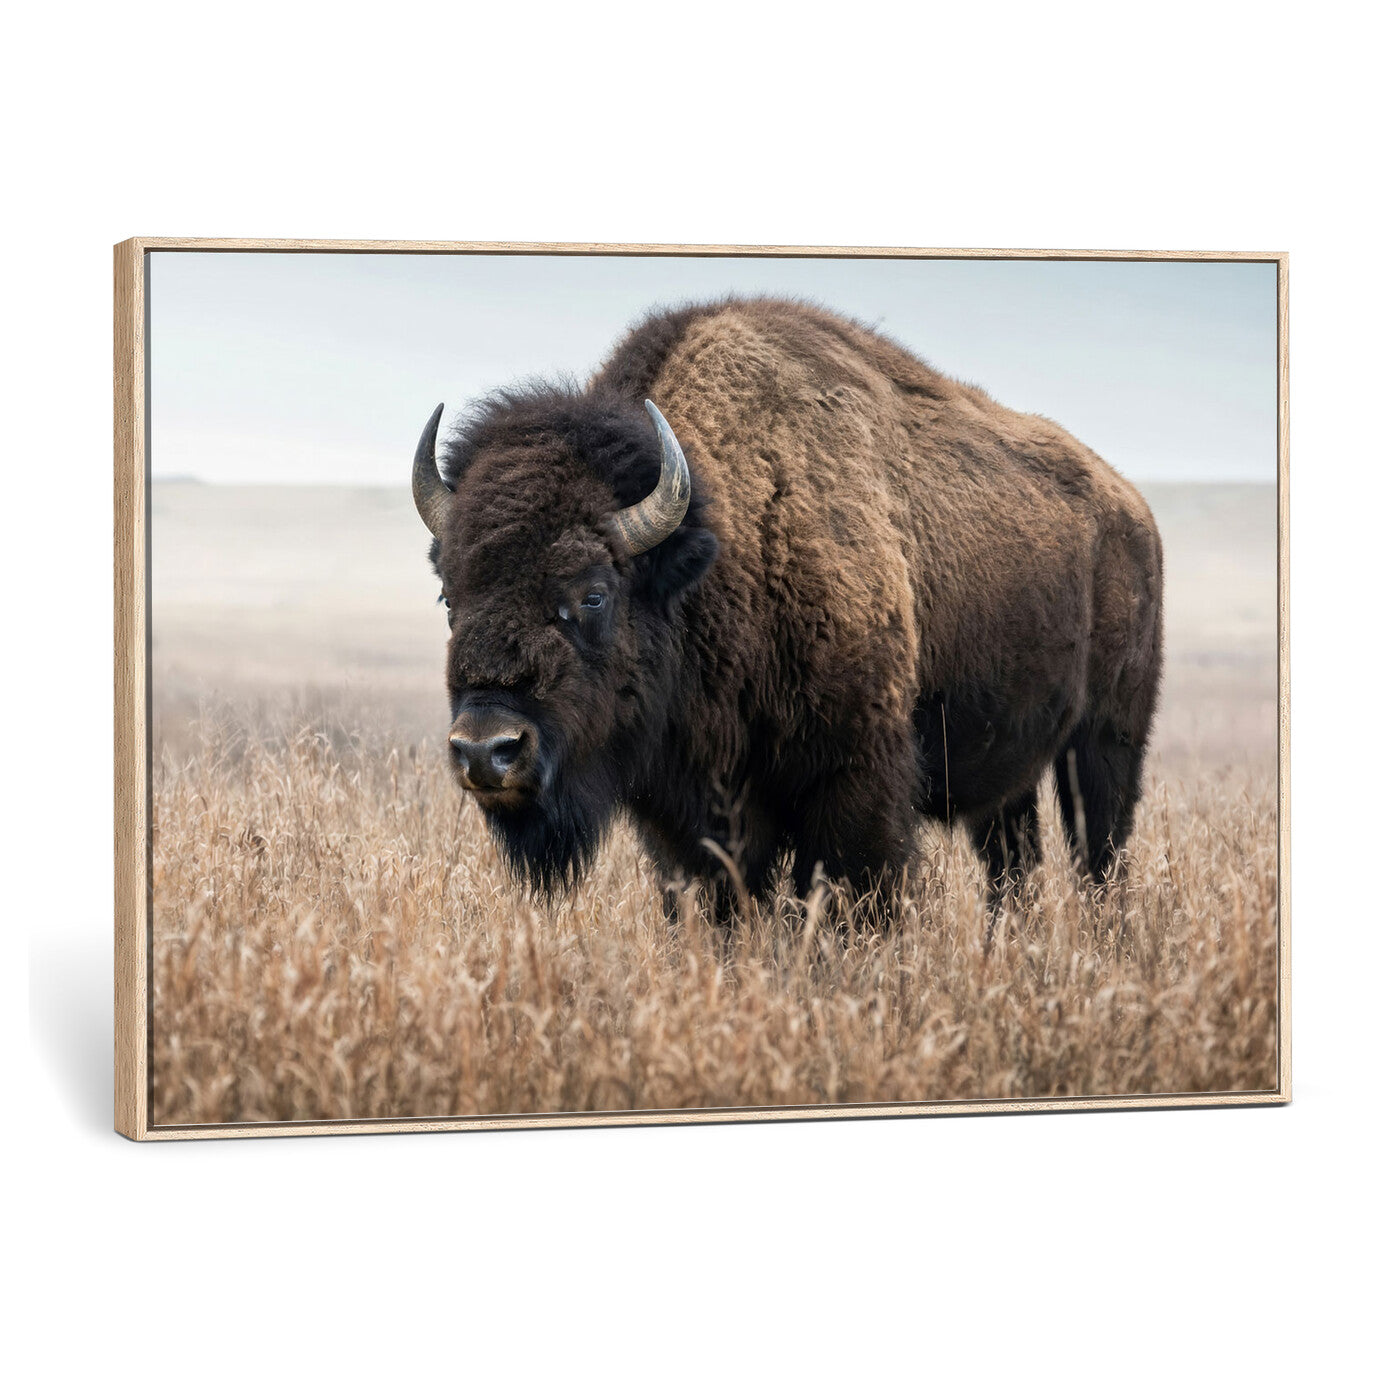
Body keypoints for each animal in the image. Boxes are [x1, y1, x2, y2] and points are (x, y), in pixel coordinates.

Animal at [412, 297, 1163, 917]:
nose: (486, 750)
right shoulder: (688, 817)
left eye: (593, 592)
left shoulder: (854, 786)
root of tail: (1131, 508)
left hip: (1107, 740)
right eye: (450, 594)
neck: (722, 544)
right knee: (1014, 865)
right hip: (1010, 773)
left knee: (1100, 858)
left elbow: (855, 902)